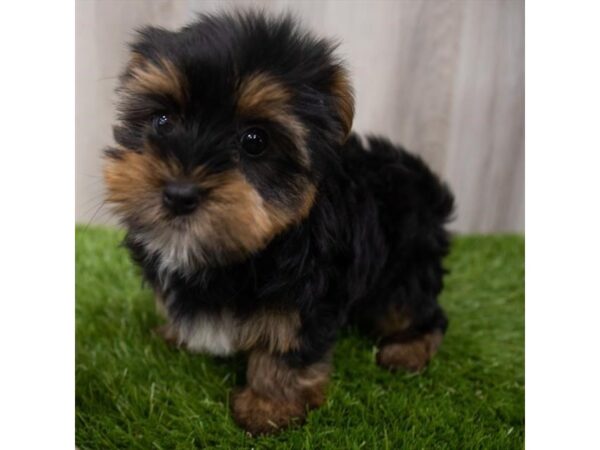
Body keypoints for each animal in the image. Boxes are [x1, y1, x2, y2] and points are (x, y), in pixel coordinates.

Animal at [105, 11, 454, 436]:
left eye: (255, 140)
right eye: (162, 121)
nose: (180, 193)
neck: (241, 253)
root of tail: (426, 186)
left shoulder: (306, 292)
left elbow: (286, 344)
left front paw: (268, 406)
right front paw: (175, 333)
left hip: (402, 271)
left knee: (420, 311)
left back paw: (407, 351)